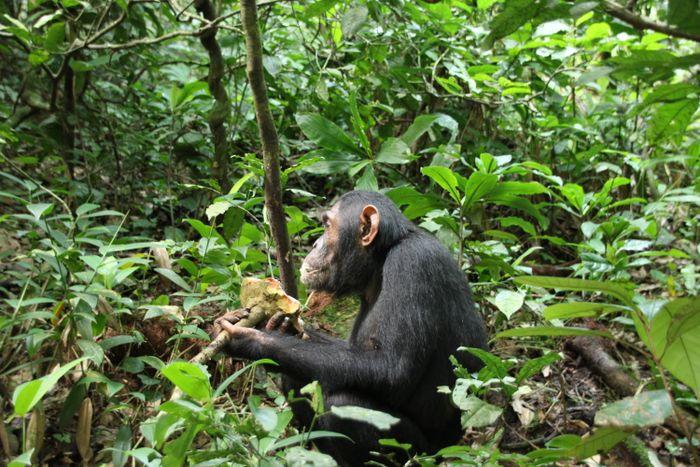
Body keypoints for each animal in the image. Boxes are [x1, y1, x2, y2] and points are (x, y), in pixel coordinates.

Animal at [213, 190, 486, 464]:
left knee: (342, 403)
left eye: (326, 226)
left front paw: (252, 339)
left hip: (420, 453)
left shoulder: (413, 265)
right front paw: (280, 326)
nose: (315, 244)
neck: (381, 260)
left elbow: (392, 369)